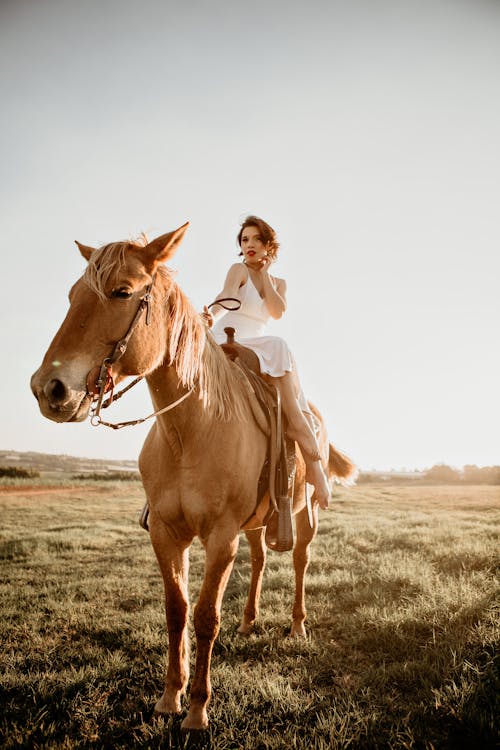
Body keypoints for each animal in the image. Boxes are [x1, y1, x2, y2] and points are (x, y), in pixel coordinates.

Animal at [30, 225, 356, 736]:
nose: (49, 389)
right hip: (257, 522)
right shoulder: (167, 534)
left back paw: (298, 624)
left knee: (301, 559)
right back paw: (249, 621)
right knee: (261, 558)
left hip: (304, 514)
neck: (191, 430)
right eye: (71, 295)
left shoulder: (220, 537)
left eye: (122, 292)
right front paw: (170, 696)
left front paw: (199, 708)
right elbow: (176, 611)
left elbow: (205, 616)